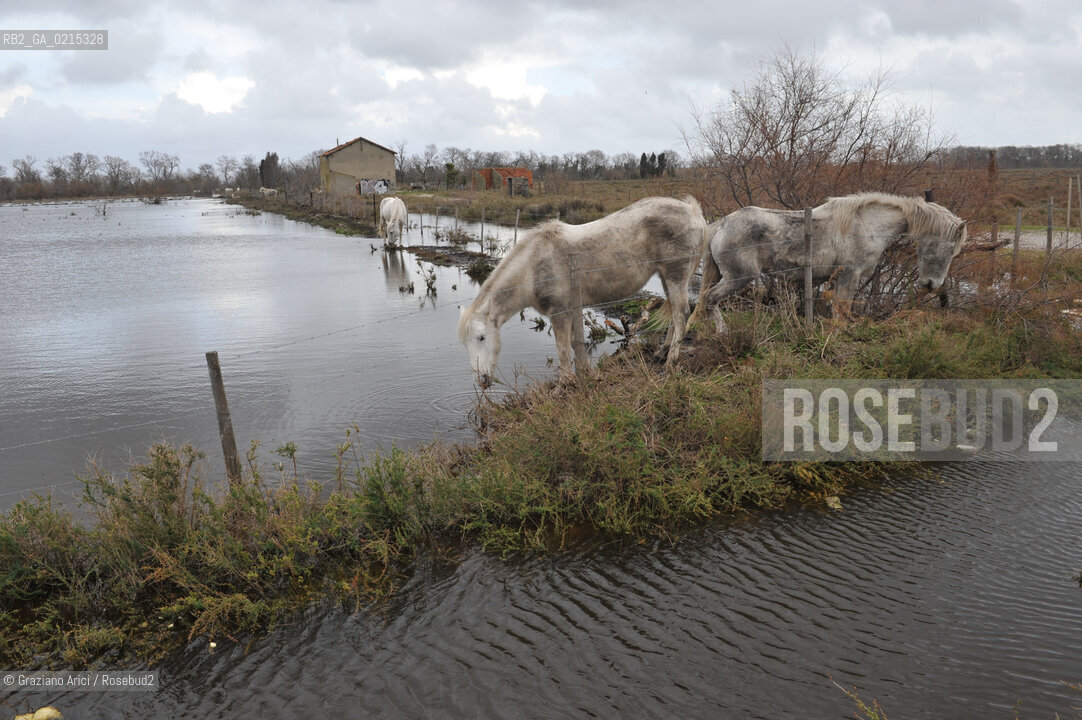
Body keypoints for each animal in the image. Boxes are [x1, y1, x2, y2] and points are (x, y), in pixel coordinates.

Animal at [458, 195, 708, 386]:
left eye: (482, 337)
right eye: (466, 343)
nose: (481, 380)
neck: (533, 268)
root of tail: (693, 211)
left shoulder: (559, 313)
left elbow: (562, 350)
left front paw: (564, 385)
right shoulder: (570, 311)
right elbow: (573, 344)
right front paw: (581, 376)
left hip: (676, 276)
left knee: (681, 315)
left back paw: (671, 362)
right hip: (667, 278)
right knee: (674, 314)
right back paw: (660, 353)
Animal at [691, 192, 966, 324]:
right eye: (951, 249)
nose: (932, 285)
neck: (867, 224)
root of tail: (722, 224)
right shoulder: (849, 275)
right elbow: (841, 312)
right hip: (738, 278)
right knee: (709, 300)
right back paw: (722, 334)